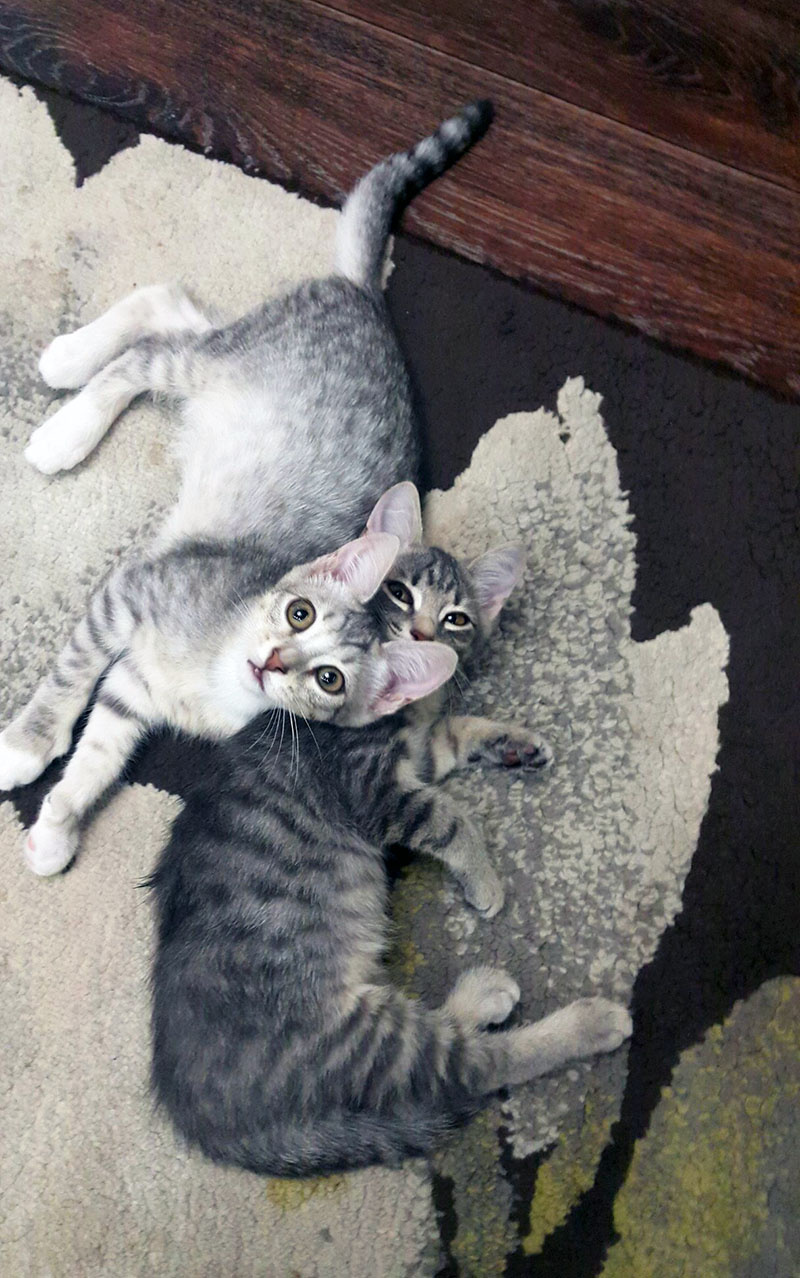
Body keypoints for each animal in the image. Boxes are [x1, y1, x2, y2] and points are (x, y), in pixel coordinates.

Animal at [0, 102, 531, 889]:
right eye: (299, 612)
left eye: (331, 678)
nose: (273, 661)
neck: (214, 675)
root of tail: (367, 297)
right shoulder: (128, 594)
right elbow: (69, 680)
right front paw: (26, 744)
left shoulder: (133, 691)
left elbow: (99, 757)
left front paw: (56, 828)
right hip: (221, 364)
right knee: (149, 345)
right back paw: (67, 402)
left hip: (226, 366)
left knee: (172, 310)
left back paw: (70, 380)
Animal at [149, 707, 631, 1176]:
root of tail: (200, 1118)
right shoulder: (374, 788)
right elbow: (450, 819)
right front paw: (483, 878)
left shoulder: (416, 756)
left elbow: (454, 728)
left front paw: (513, 744)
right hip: (359, 1042)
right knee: (474, 1067)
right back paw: (591, 1023)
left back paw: (485, 996)